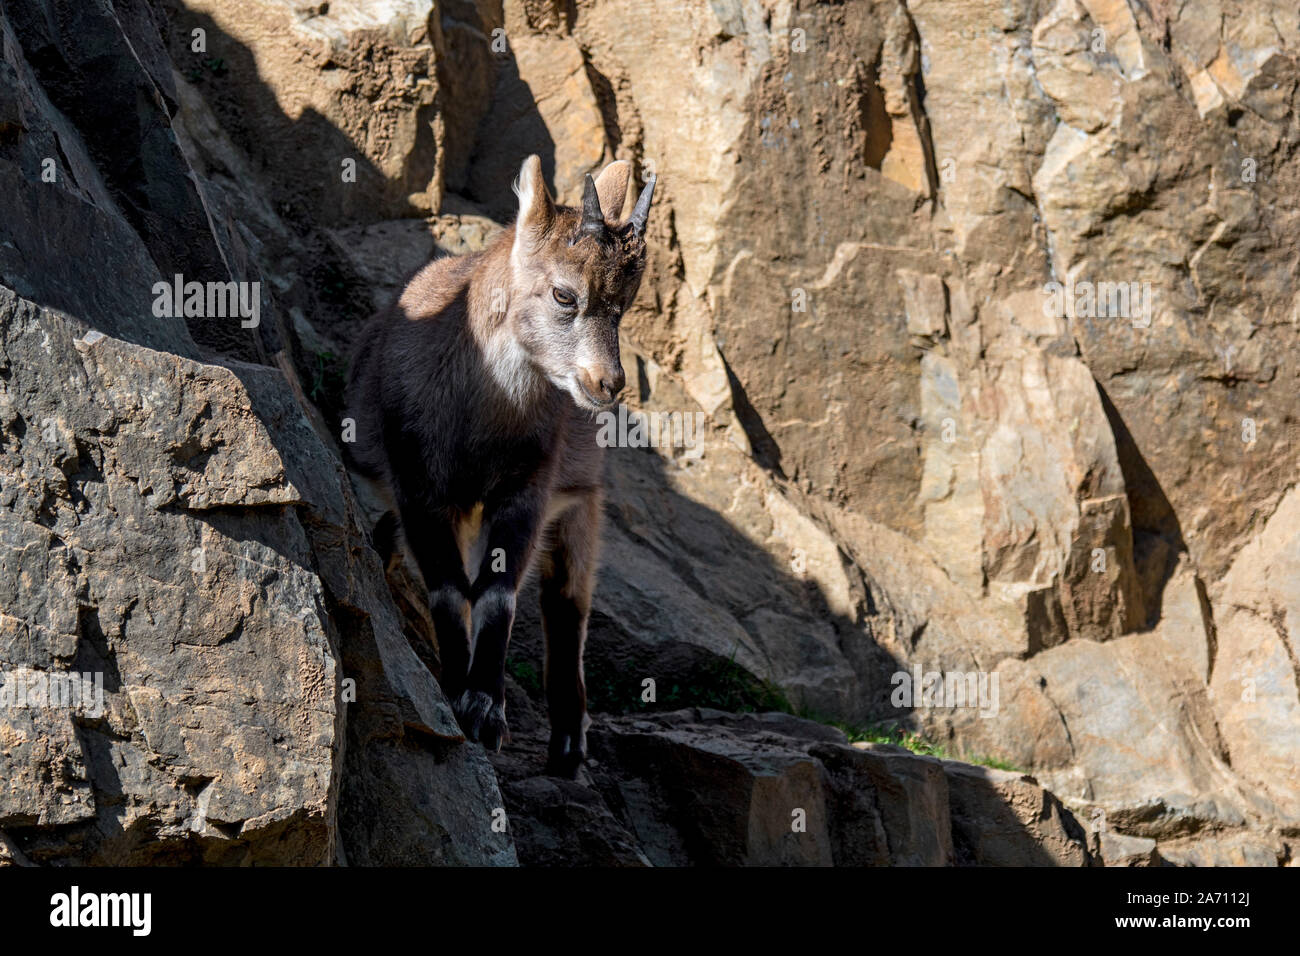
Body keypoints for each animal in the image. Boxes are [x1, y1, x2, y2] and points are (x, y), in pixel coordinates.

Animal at [344, 155, 655, 777]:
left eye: (624, 305)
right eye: (564, 294)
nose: (606, 384)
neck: (479, 416)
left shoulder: (526, 489)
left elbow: (497, 594)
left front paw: (486, 709)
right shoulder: (420, 486)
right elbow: (448, 589)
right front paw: (455, 695)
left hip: (580, 502)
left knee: (567, 607)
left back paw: (569, 744)